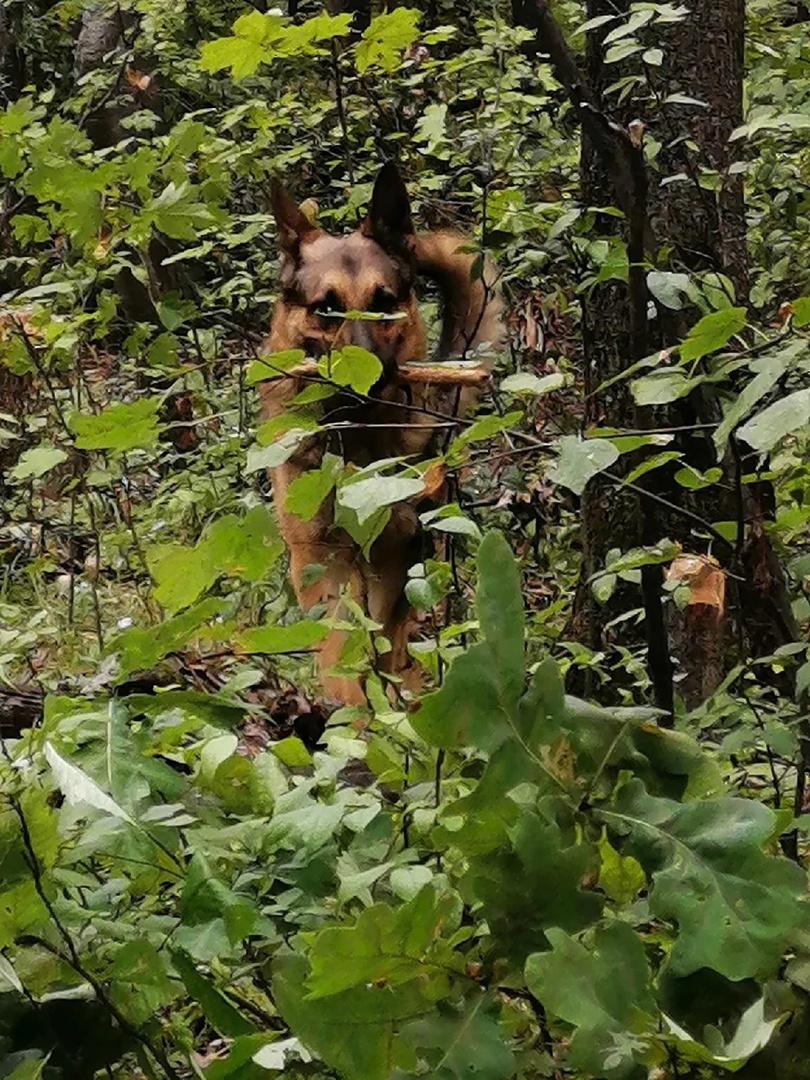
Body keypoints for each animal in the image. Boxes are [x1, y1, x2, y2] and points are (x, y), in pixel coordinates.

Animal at [263, 157, 505, 699]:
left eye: (383, 302)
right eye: (326, 309)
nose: (369, 383)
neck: (356, 444)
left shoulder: (393, 553)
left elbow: (378, 635)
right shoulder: (320, 559)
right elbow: (342, 643)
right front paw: (350, 706)